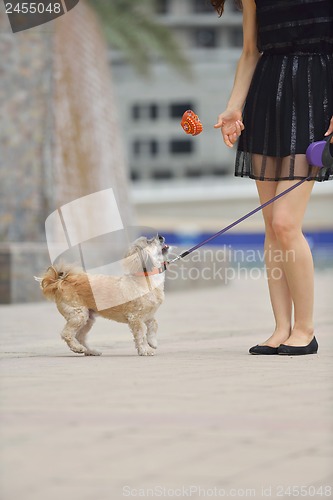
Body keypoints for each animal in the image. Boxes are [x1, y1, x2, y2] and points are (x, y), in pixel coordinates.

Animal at [38, 234, 169, 356]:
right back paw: (77, 348)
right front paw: (145, 350)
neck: (146, 279)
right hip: (78, 314)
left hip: (88, 319)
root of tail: (63, 281)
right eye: (149, 242)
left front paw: (152, 341)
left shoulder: (148, 315)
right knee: (67, 334)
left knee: (80, 336)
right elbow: (141, 335)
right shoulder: (135, 318)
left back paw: (90, 351)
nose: (160, 236)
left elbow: (154, 325)